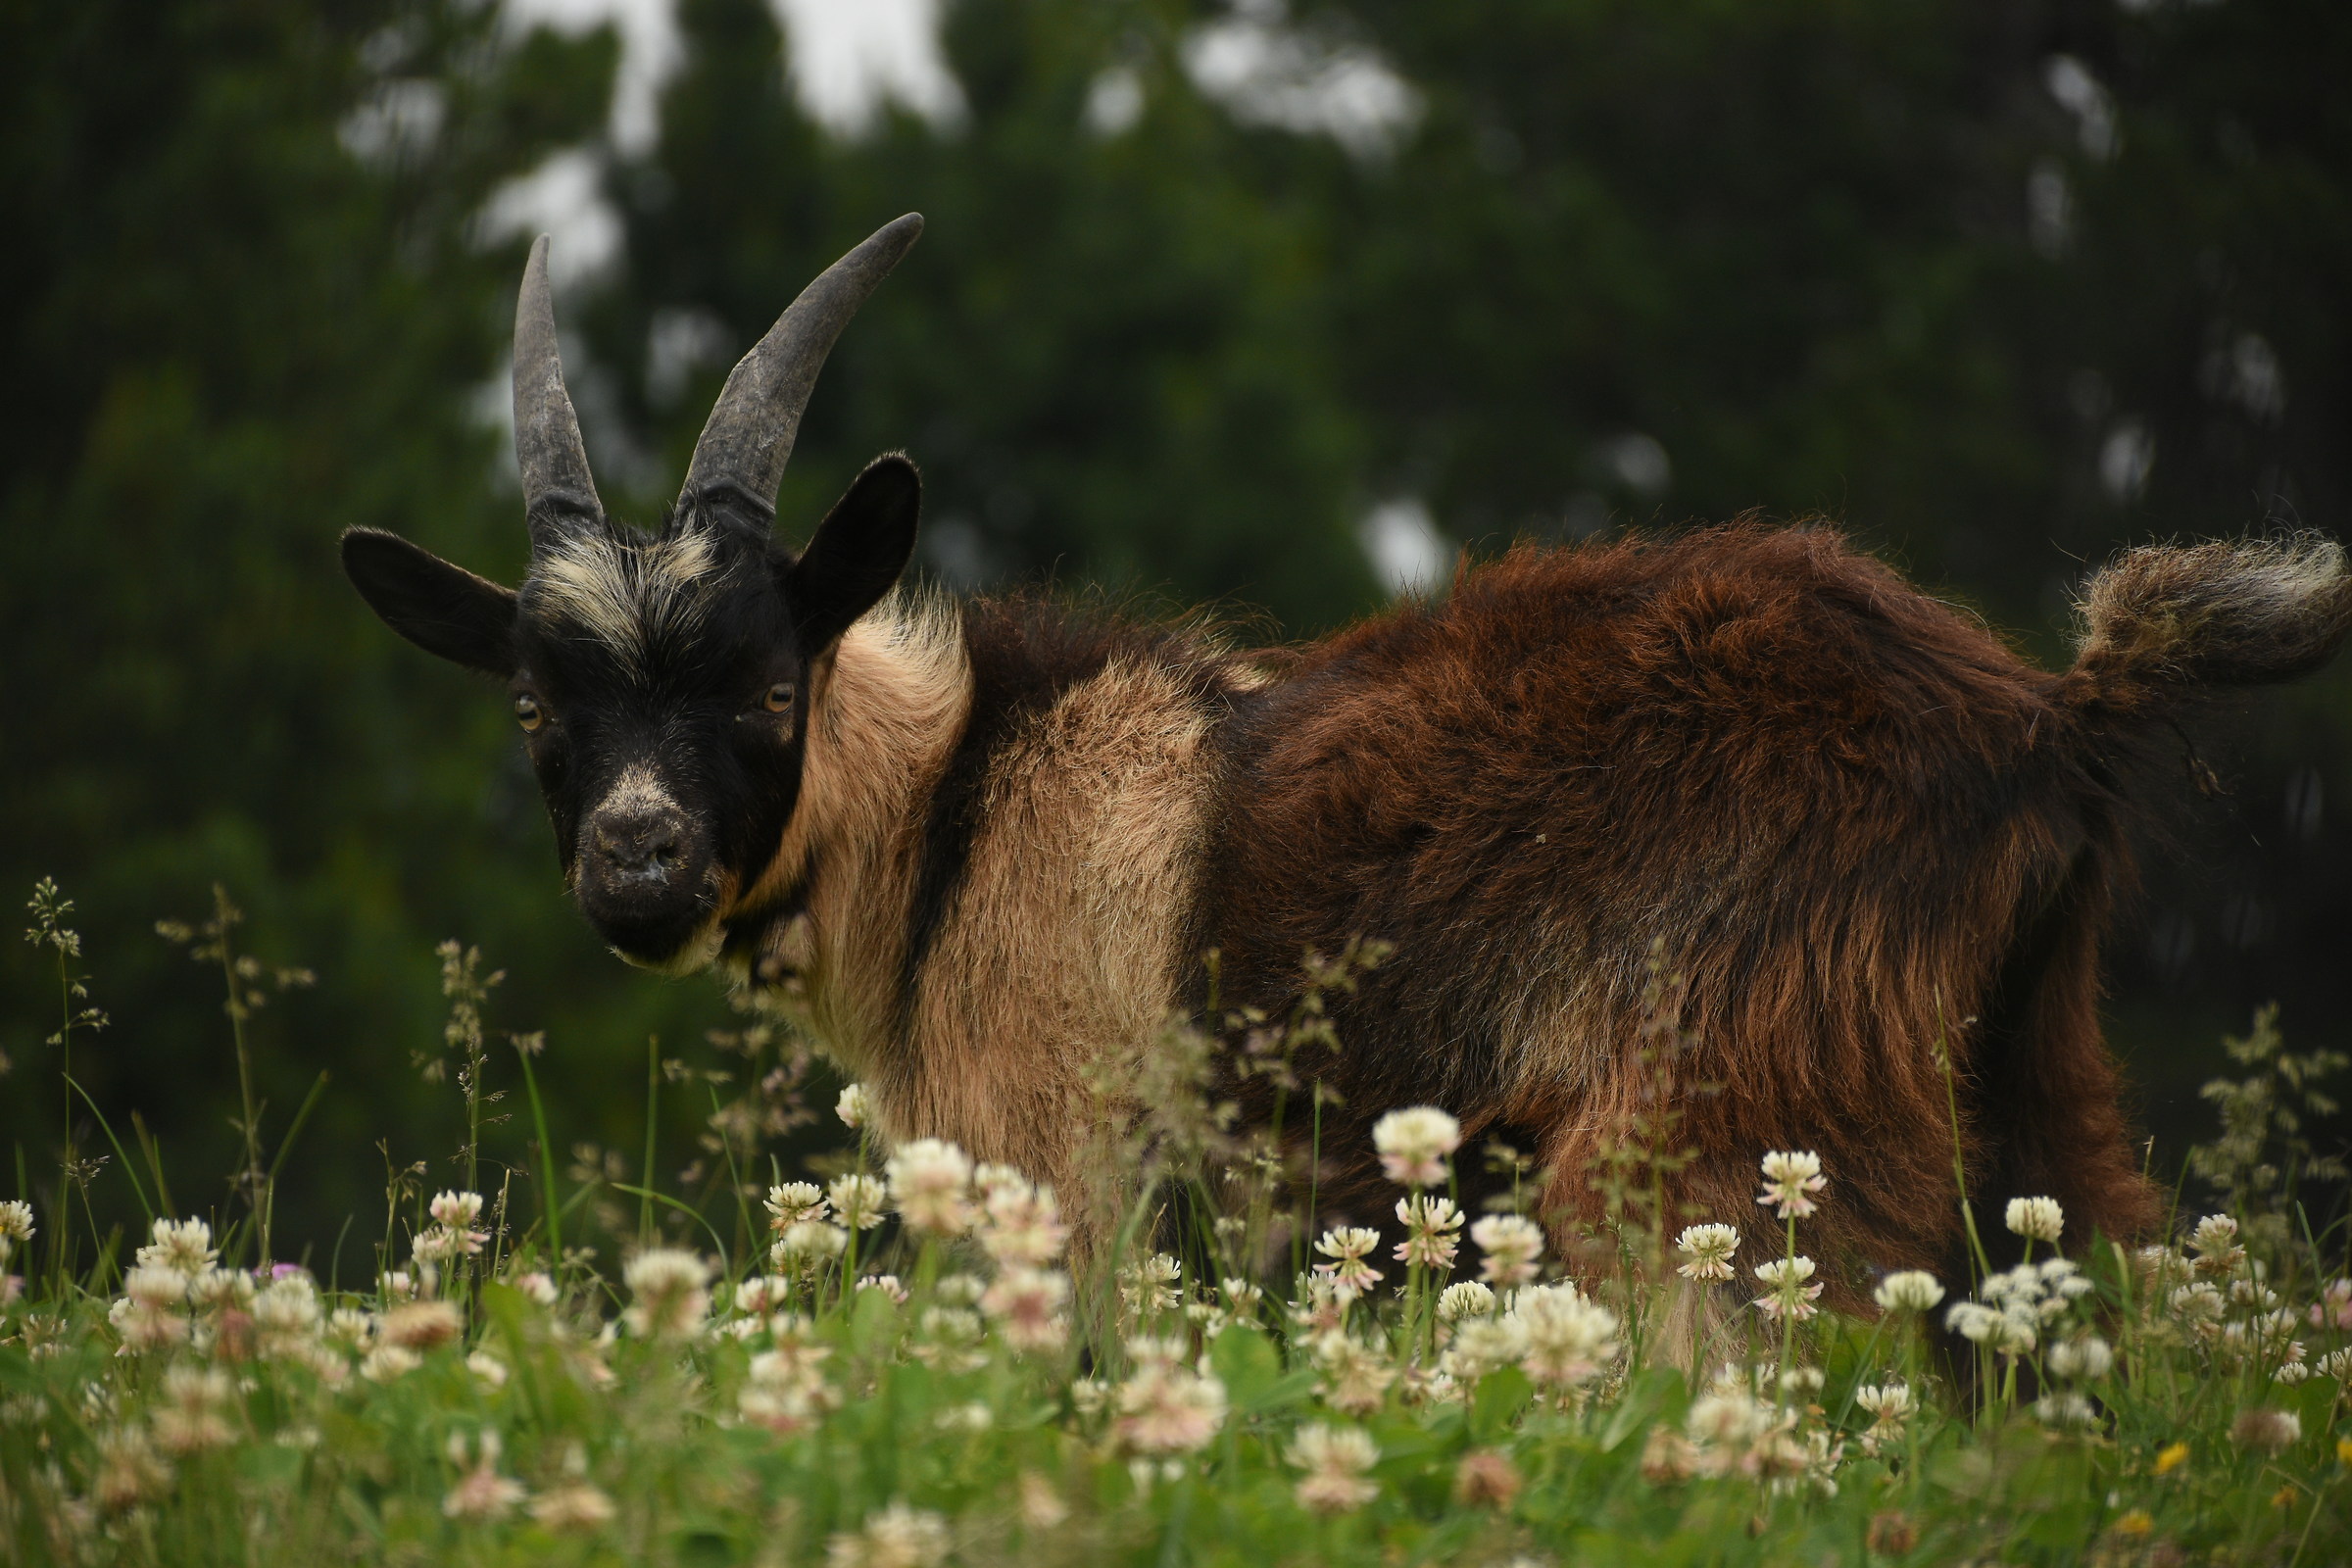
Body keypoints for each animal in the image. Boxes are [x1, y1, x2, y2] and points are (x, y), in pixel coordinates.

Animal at [344, 216, 2352, 1298]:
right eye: (537, 711)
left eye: (767, 688)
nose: (638, 863)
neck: (965, 798)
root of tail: (2044, 719)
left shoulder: (1057, 1181)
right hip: (2027, 1095)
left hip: (1716, 1138)